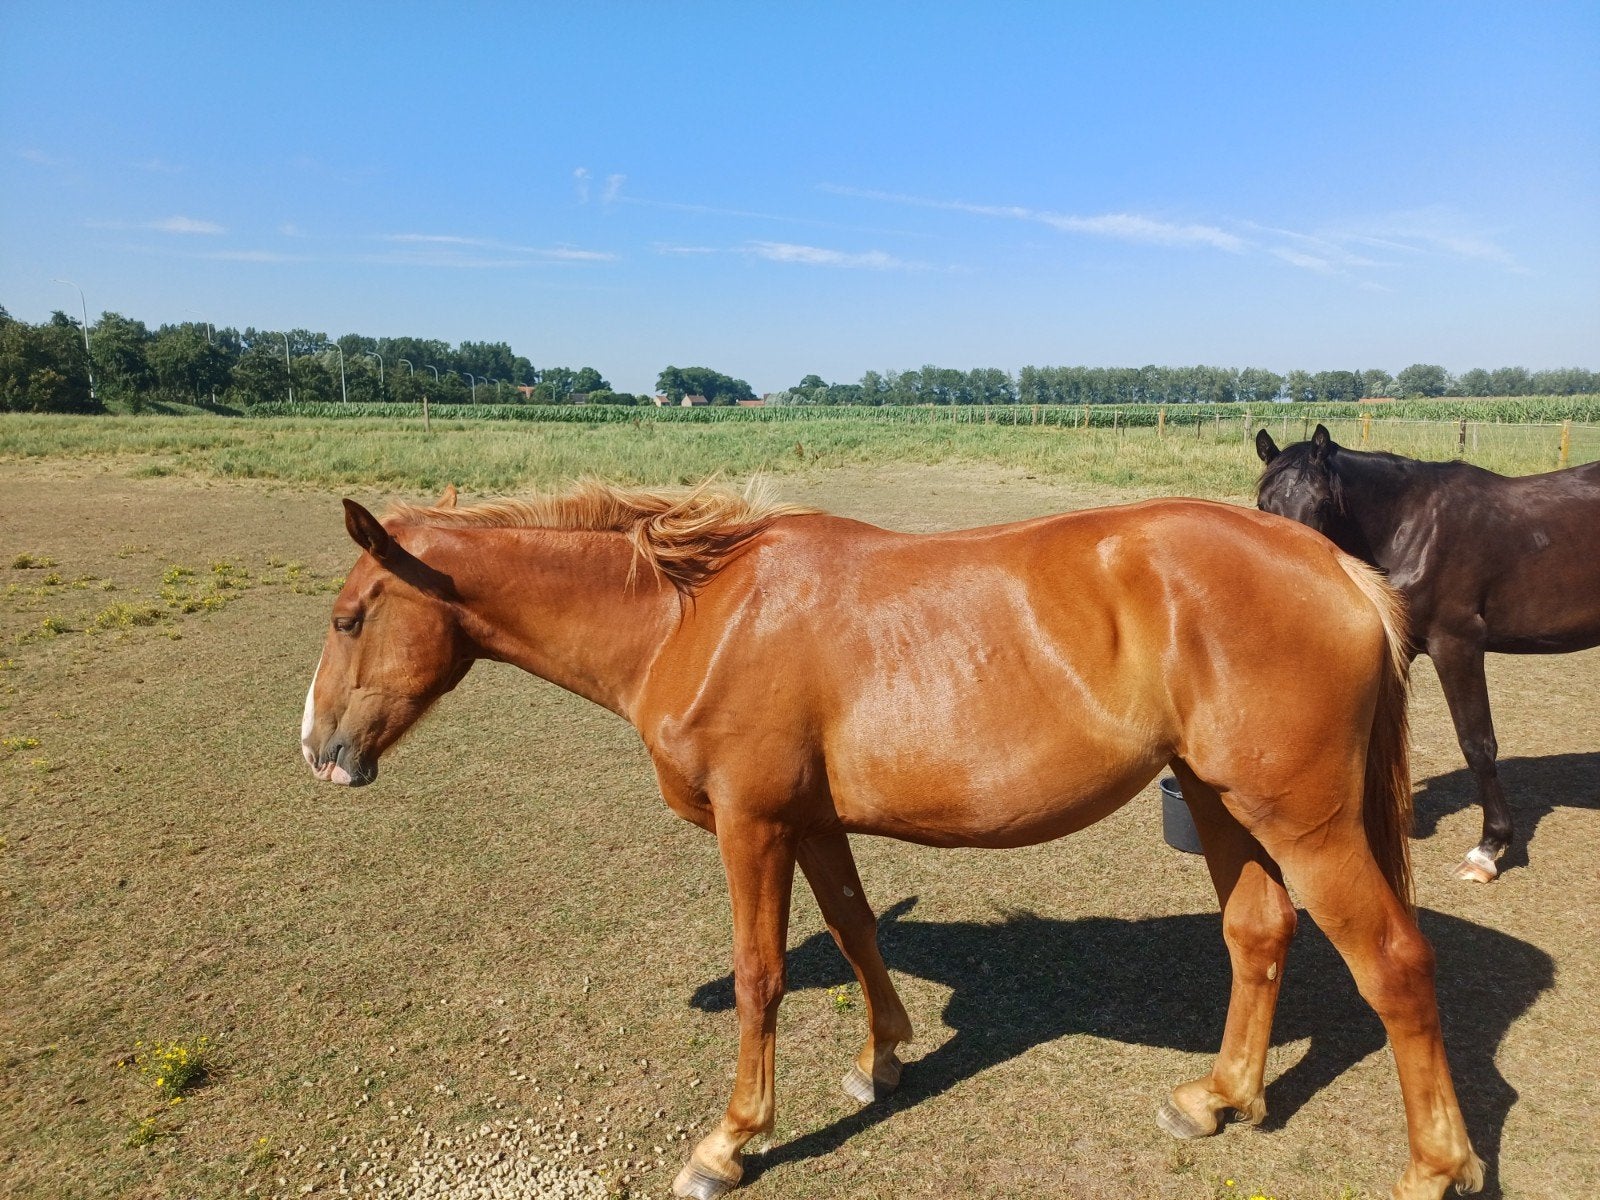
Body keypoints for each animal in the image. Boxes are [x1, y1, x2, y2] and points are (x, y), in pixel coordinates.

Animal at [300, 480, 1484, 1200]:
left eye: (351, 618)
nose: (318, 750)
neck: (699, 615)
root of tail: (1335, 567)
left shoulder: (753, 824)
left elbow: (762, 974)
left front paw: (731, 1141)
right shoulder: (812, 822)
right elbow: (858, 929)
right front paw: (882, 1061)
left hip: (1304, 822)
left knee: (1395, 965)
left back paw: (1437, 1166)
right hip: (1217, 798)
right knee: (1257, 932)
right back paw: (1220, 1096)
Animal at [1257, 424, 1600, 883]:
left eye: (1324, 503)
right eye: (1263, 503)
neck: (1413, 526)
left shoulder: (1457, 645)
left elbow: (1477, 743)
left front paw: (1488, 849)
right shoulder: (1403, 647)